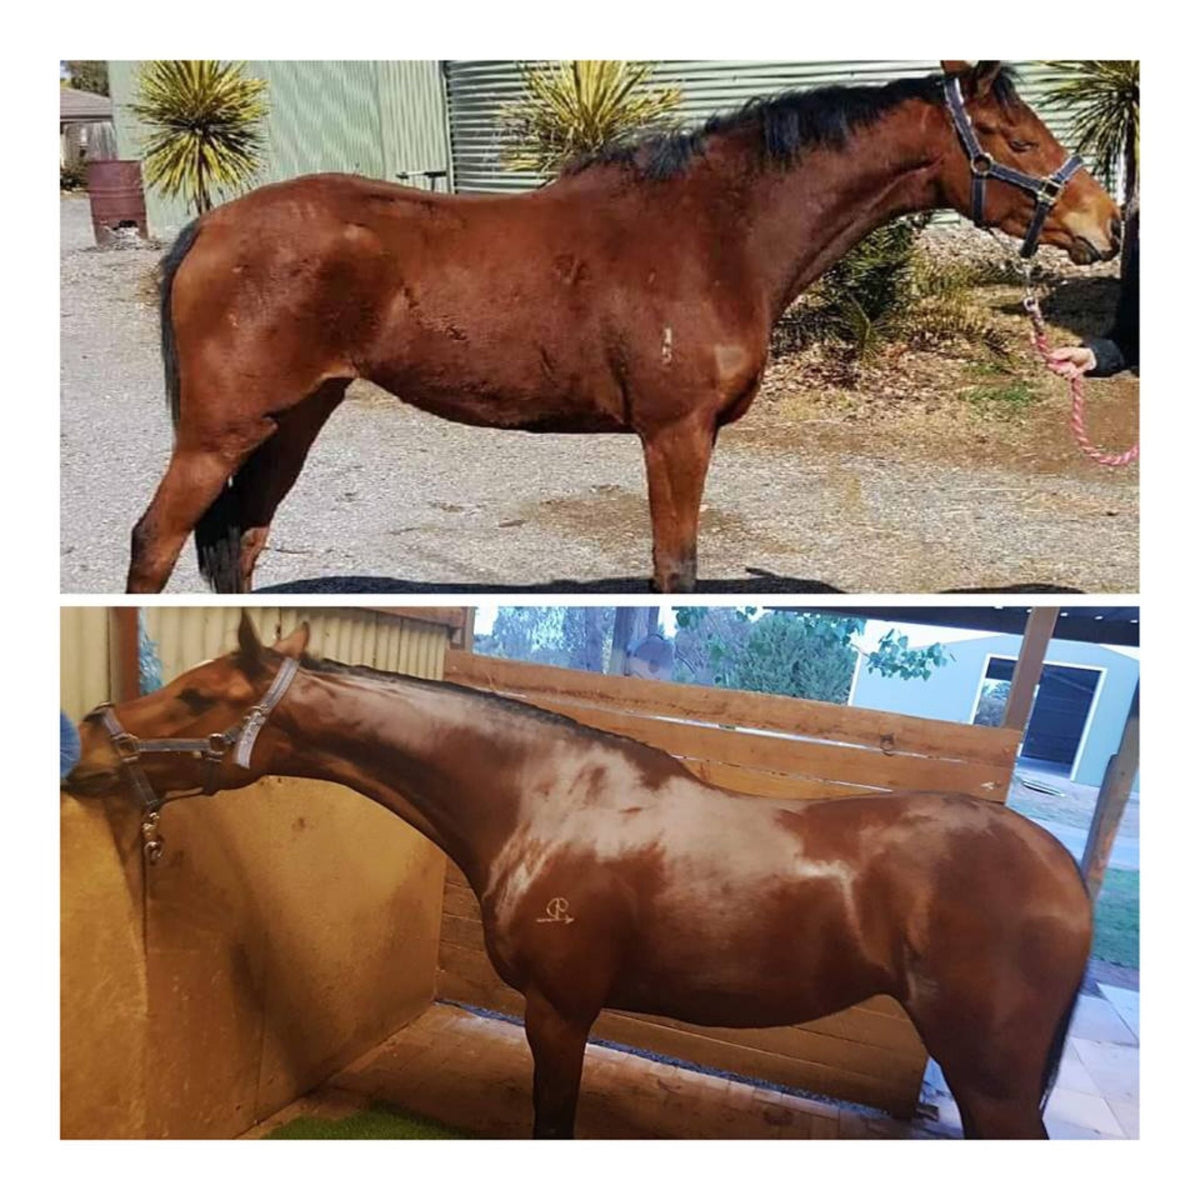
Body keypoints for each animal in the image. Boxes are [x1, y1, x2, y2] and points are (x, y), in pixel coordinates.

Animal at [68, 614, 1093, 1138]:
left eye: (199, 695)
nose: (88, 745)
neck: (542, 799)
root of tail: (1065, 873)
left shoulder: (559, 1013)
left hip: (989, 1080)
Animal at [125, 61, 1121, 594]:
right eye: (1021, 142)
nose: (1109, 225)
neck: (716, 229)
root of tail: (212, 225)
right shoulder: (675, 434)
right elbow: (675, 569)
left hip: (295, 417)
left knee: (242, 541)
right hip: (218, 433)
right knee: (155, 543)